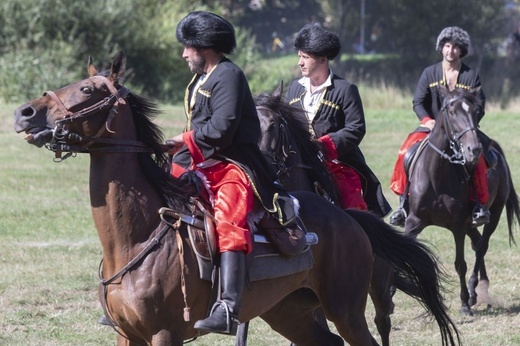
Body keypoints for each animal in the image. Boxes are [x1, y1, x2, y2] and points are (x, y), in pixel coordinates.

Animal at [400, 86, 516, 316]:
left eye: (476, 112)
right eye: (451, 112)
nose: (474, 149)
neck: (435, 176)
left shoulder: (457, 226)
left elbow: (460, 263)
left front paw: (464, 304)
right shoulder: (414, 221)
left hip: (494, 213)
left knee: (481, 246)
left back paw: (474, 291)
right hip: (471, 223)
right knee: (477, 242)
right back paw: (477, 291)